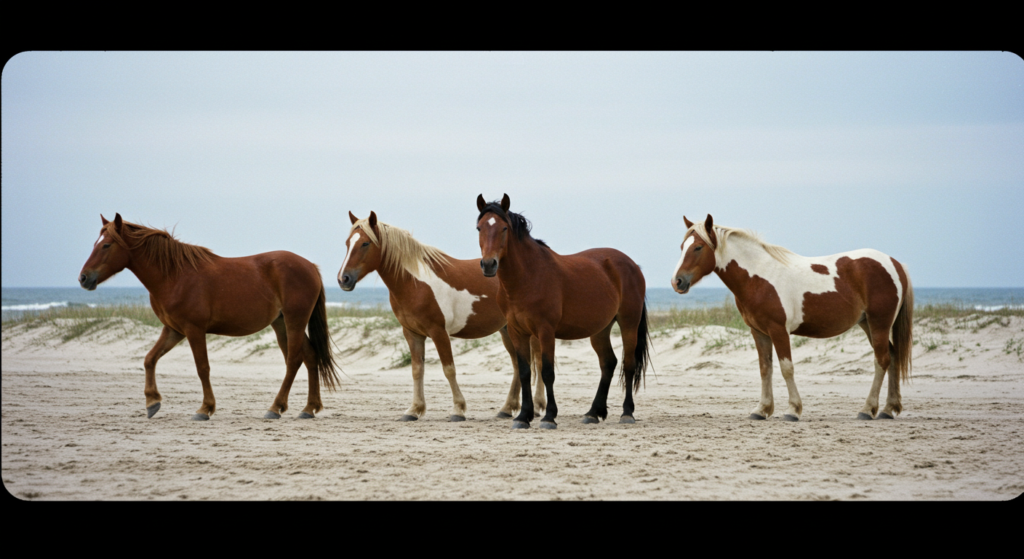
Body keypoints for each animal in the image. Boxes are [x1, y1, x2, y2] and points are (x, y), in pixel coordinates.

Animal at [77, 211, 339, 417]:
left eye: (106, 245)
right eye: (95, 243)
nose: (83, 278)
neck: (174, 276)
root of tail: (310, 267)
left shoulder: (194, 330)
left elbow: (202, 367)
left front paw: (205, 409)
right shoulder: (173, 330)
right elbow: (150, 359)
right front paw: (152, 402)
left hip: (295, 322)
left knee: (294, 361)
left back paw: (275, 408)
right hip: (282, 324)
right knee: (310, 357)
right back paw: (308, 408)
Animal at [337, 210, 548, 419]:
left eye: (365, 243)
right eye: (347, 243)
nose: (343, 279)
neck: (415, 283)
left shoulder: (438, 332)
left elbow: (449, 369)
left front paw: (458, 409)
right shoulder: (412, 333)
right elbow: (417, 370)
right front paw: (414, 409)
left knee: (537, 361)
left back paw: (538, 407)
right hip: (506, 330)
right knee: (518, 365)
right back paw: (506, 408)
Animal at [475, 193, 651, 427]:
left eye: (504, 228)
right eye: (479, 228)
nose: (488, 264)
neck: (528, 277)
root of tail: (632, 265)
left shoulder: (545, 331)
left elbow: (547, 372)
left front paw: (549, 416)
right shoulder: (516, 331)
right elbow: (525, 372)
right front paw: (523, 416)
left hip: (628, 324)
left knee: (628, 364)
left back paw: (627, 413)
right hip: (600, 330)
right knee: (608, 363)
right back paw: (593, 413)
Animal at [671, 212, 913, 417]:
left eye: (698, 247)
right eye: (682, 246)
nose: (677, 282)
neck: (759, 277)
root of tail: (894, 263)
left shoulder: (778, 330)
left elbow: (786, 368)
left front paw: (793, 410)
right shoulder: (759, 332)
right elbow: (765, 369)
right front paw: (762, 410)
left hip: (879, 323)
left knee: (881, 360)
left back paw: (867, 409)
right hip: (868, 324)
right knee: (892, 356)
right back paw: (889, 409)